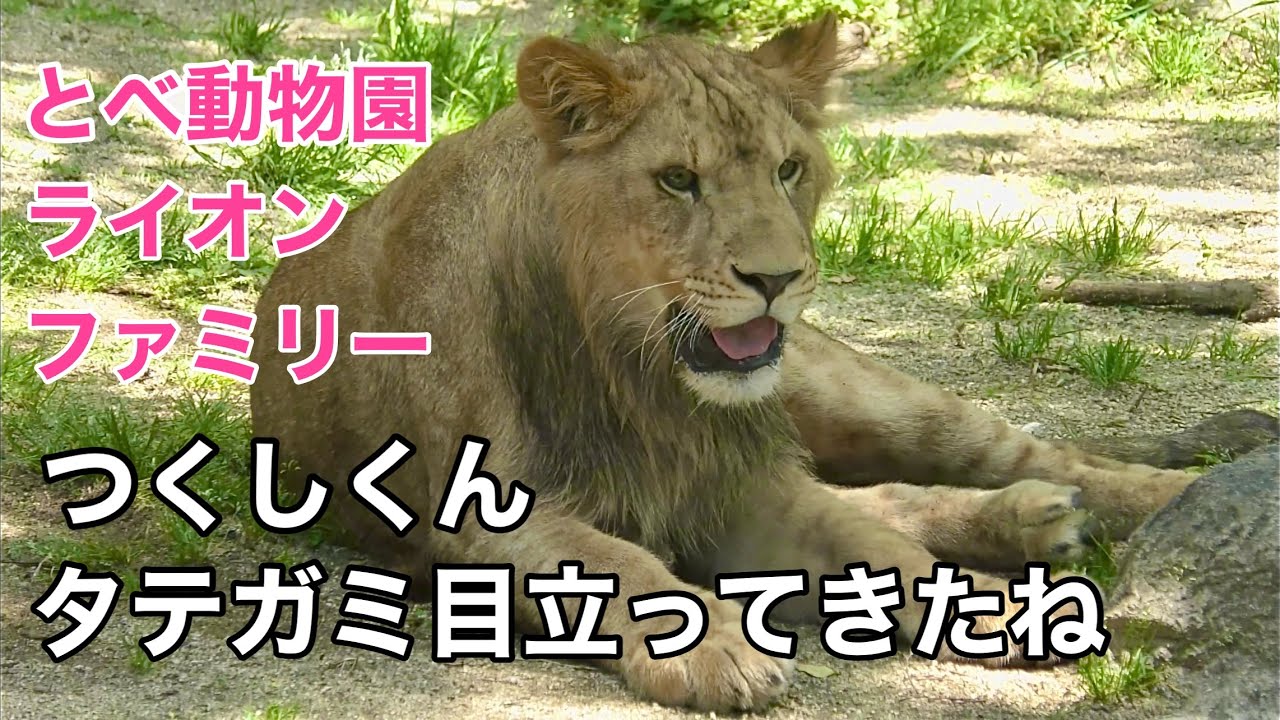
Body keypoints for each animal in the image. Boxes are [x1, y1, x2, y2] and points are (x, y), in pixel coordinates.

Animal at [249, 14, 1208, 712]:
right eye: (678, 180)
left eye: (788, 170)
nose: (776, 279)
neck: (639, 377)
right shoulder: (490, 519)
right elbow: (623, 563)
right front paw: (712, 647)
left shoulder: (740, 485)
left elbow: (875, 545)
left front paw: (986, 607)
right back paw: (1035, 520)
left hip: (853, 393)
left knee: (1023, 454)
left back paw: (1159, 498)